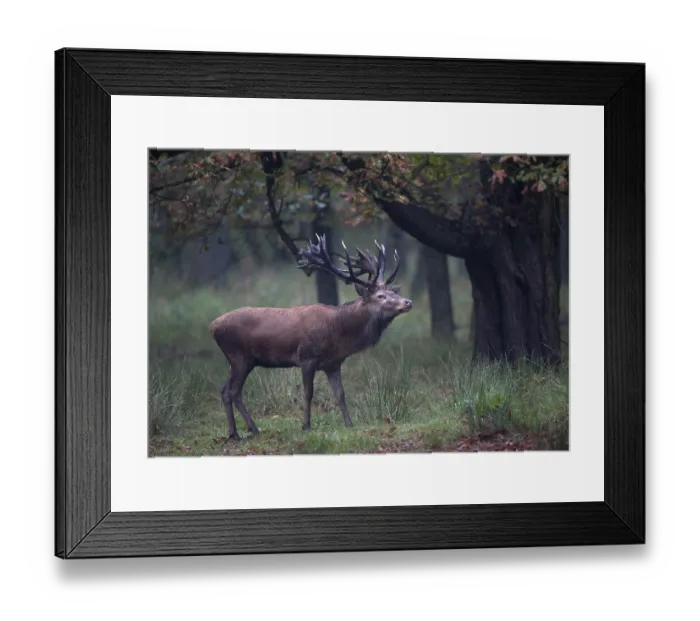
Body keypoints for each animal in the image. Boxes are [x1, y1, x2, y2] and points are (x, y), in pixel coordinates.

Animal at [209, 234, 413, 441]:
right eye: (380, 296)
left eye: (393, 292)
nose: (408, 302)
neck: (339, 335)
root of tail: (213, 326)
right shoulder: (307, 357)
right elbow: (308, 393)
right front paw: (306, 425)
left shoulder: (333, 363)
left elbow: (340, 393)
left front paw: (349, 423)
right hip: (239, 356)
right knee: (232, 391)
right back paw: (238, 433)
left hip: (240, 361)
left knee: (226, 390)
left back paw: (247, 429)